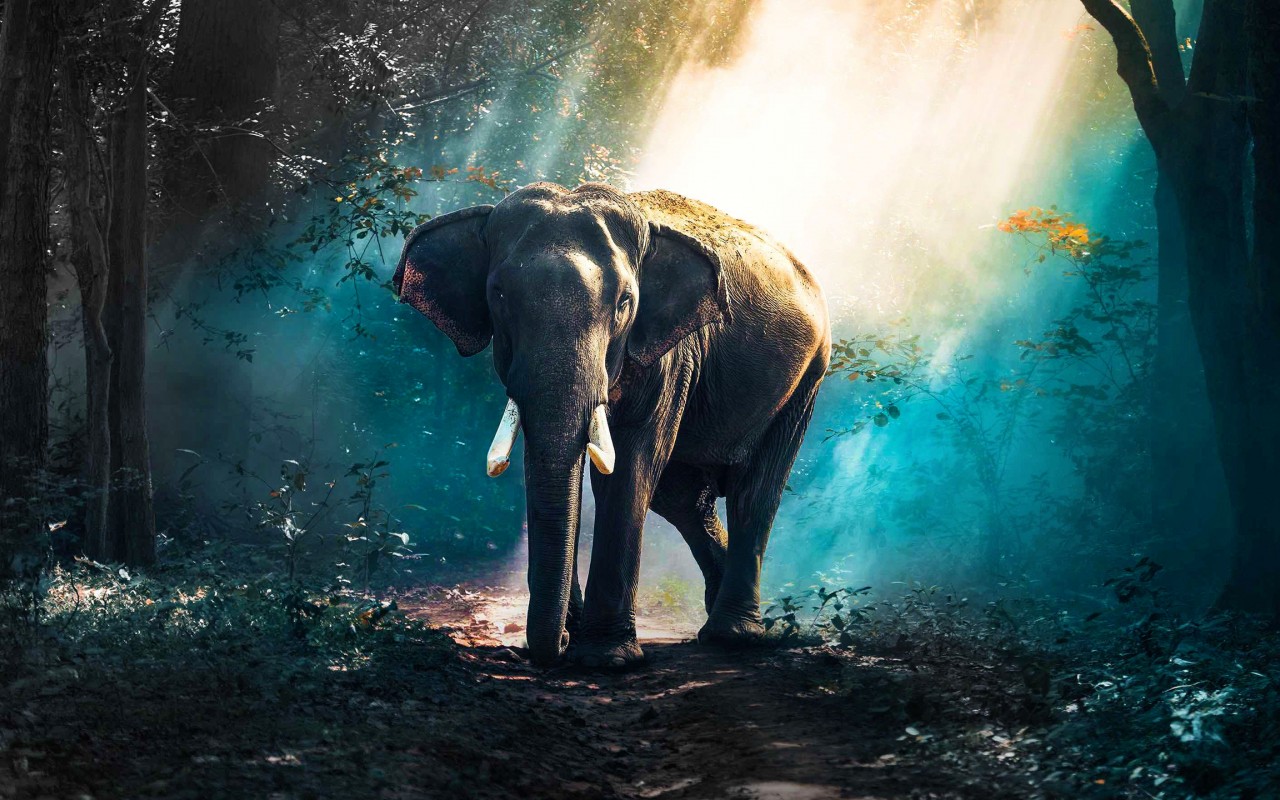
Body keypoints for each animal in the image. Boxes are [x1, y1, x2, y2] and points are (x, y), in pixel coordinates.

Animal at [393, 182, 829, 666]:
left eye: (624, 303)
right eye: (499, 295)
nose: (559, 644)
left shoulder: (671, 355)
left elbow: (630, 468)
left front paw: (606, 658)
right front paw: (576, 636)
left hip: (807, 378)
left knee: (755, 491)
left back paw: (734, 636)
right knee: (683, 498)